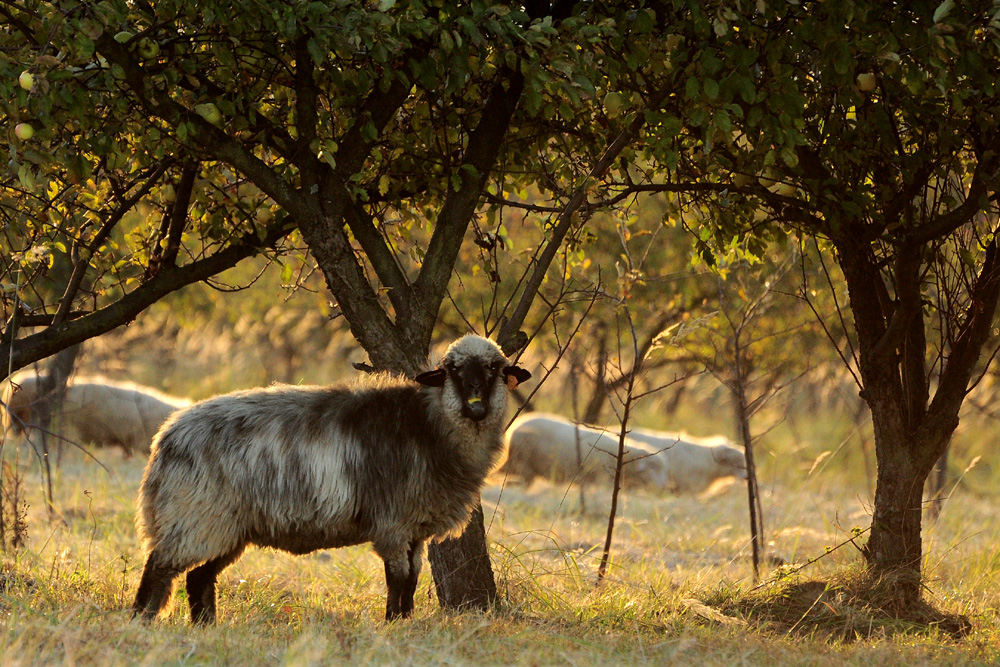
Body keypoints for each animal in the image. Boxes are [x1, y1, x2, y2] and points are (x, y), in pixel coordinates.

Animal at [137, 334, 536, 628]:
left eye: (495, 369)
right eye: (452, 370)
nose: (476, 405)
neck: (429, 425)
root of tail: (166, 436)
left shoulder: (415, 528)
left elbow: (413, 578)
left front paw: (405, 622)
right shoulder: (392, 524)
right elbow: (397, 578)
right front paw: (392, 624)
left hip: (226, 526)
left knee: (199, 578)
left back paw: (206, 627)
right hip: (194, 514)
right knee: (159, 569)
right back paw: (141, 623)